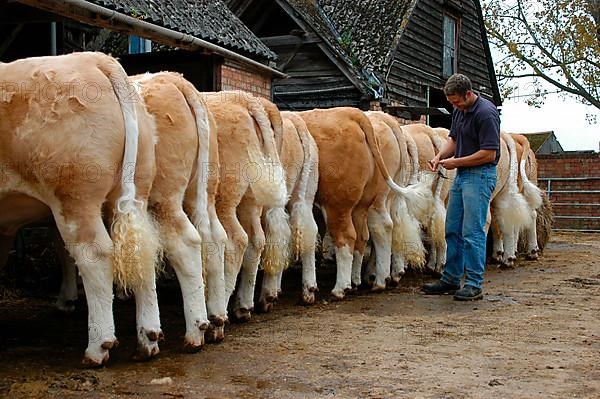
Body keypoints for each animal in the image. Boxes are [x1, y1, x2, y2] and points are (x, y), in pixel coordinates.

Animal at [0, 52, 162, 366]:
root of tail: (95, 58)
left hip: (74, 197)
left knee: (95, 254)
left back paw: (98, 347)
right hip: (136, 190)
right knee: (142, 251)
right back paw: (147, 339)